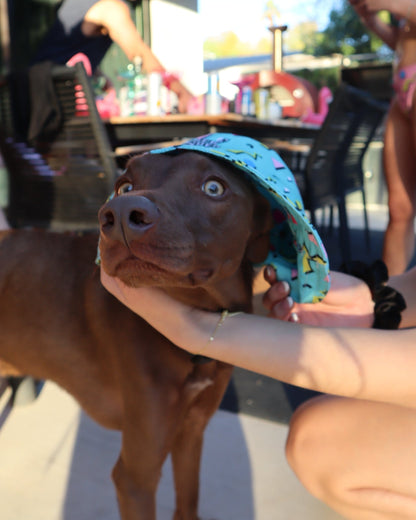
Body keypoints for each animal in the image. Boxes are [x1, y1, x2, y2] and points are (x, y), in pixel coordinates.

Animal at [0, 148, 272, 516]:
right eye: (124, 185)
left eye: (214, 187)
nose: (120, 214)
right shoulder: (134, 478)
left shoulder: (191, 433)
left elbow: (188, 501)